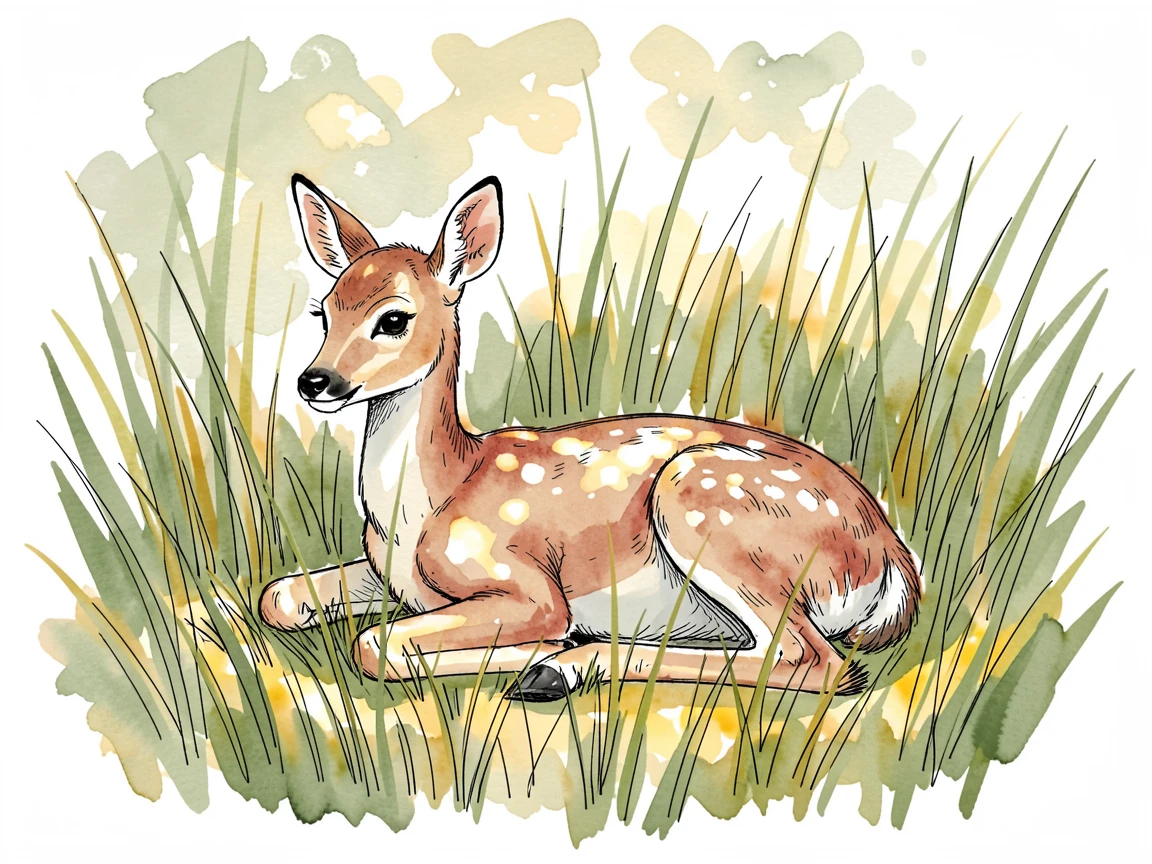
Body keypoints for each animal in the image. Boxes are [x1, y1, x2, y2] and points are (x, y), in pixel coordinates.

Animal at [257, 173, 921, 701]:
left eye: (393, 318)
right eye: (323, 311)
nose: (315, 381)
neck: (427, 506)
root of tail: (894, 562)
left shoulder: (527, 584)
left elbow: (375, 644)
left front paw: (538, 648)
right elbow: (278, 597)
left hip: (707, 504)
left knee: (817, 661)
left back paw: (562, 666)